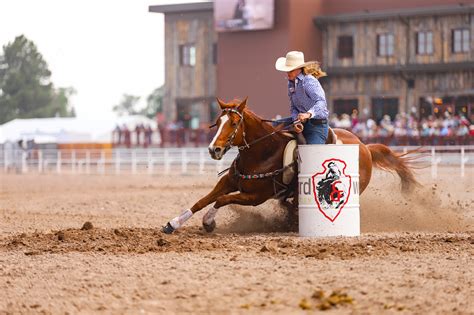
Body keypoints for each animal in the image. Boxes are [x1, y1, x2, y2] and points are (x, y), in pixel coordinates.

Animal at [162, 99, 418, 235]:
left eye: (234, 123)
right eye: (217, 122)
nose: (213, 149)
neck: (263, 152)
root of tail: (365, 146)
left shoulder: (255, 197)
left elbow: (221, 200)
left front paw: (208, 222)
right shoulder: (228, 181)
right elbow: (203, 200)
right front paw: (172, 223)